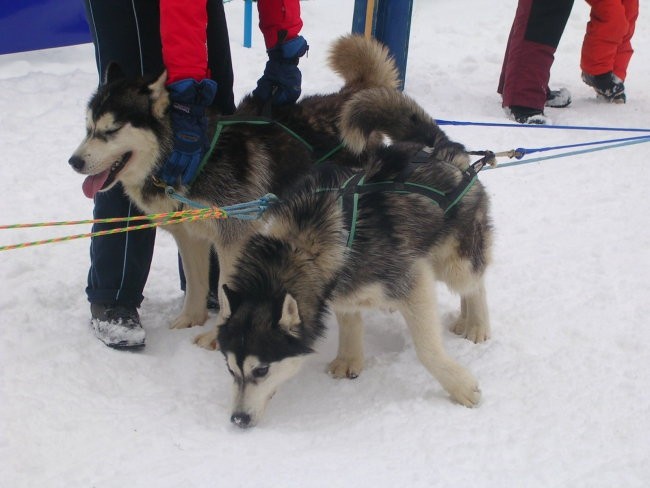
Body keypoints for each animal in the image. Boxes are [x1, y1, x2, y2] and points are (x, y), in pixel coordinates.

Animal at [67, 34, 416, 346]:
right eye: (88, 128)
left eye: (111, 130)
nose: (74, 161)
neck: (187, 161)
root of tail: (350, 94)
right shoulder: (192, 239)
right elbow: (196, 284)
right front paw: (190, 320)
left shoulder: (231, 239)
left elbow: (224, 289)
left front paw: (214, 337)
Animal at [218, 89, 492, 428]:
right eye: (230, 369)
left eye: (261, 370)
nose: (238, 419)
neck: (301, 245)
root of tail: (438, 147)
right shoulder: (339, 288)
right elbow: (349, 321)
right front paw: (348, 359)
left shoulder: (412, 282)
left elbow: (427, 348)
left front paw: (460, 385)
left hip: (455, 262)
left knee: (474, 283)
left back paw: (476, 324)